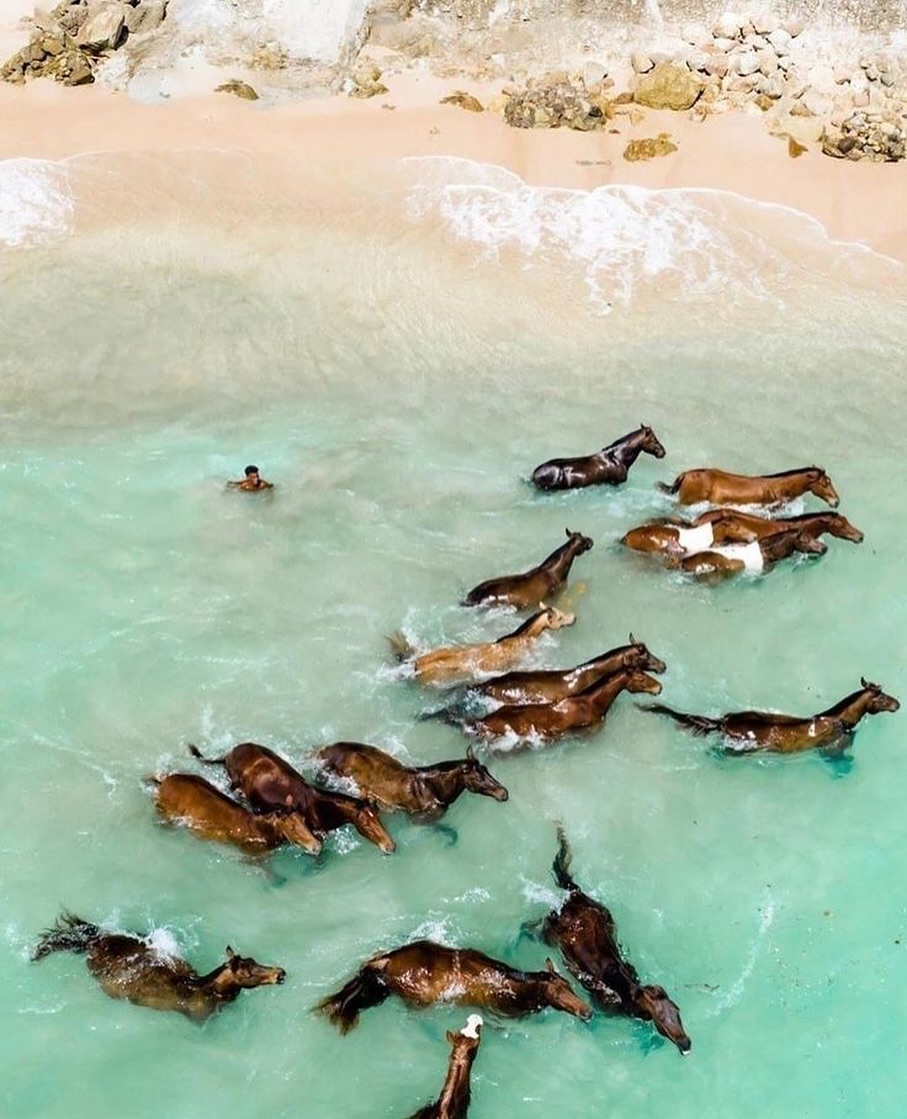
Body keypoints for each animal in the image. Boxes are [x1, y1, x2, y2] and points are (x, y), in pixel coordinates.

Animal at [314, 743, 508, 823]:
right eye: (478, 777)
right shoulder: (418, 817)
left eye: (486, 769)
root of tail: (323, 751)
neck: (434, 789)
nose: (504, 793)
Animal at [536, 829, 690, 1054]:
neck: (625, 992)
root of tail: (574, 893)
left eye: (678, 1013)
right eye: (661, 1019)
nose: (686, 1042)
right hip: (548, 932)